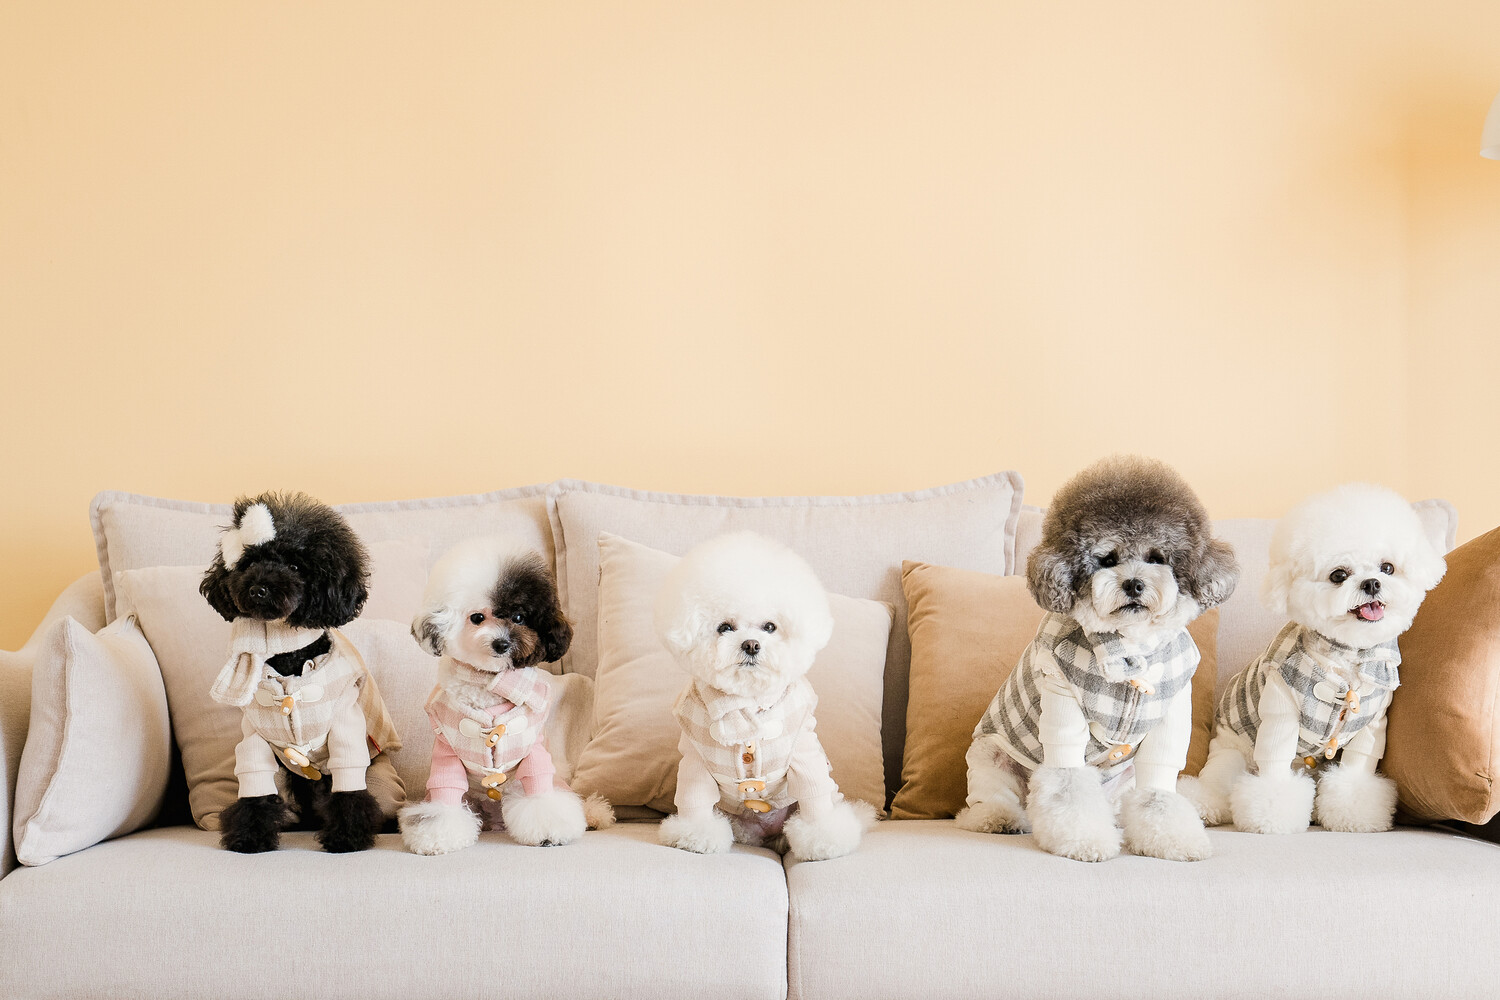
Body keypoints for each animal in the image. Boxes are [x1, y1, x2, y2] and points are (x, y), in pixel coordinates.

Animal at [200, 492, 404, 853]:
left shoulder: (346, 727)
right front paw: (249, 837)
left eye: (295, 566)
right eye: (248, 563)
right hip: (287, 778)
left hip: (380, 778)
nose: (258, 589)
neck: (288, 659)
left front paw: (346, 838)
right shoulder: (254, 740)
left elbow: (349, 789)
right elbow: (254, 791)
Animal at [398, 536, 613, 855]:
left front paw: (548, 832)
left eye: (520, 617)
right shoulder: (446, 751)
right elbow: (444, 795)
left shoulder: (533, 751)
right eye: (477, 617)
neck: (489, 687)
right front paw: (438, 837)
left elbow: (541, 791)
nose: (502, 644)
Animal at [654, 531, 874, 861]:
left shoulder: (804, 755)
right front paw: (695, 837)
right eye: (724, 627)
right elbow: (694, 798)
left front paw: (824, 841)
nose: (751, 644)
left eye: (770, 626)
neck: (744, 701)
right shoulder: (694, 760)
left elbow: (815, 797)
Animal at [955, 456, 1238, 862]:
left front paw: (1175, 839)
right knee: (987, 802)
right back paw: (1000, 819)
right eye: (1107, 559)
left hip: (1123, 780)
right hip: (991, 757)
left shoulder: (1171, 712)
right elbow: (1068, 785)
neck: (1132, 647)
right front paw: (1085, 841)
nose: (1134, 583)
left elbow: (1159, 794)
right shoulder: (1059, 696)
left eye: (1157, 557)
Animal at [1181, 484, 1445, 834]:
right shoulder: (1281, 710)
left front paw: (1355, 815)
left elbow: (1358, 769)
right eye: (1338, 575)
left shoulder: (1373, 722)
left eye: (1387, 568)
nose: (1372, 583)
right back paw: (1202, 805)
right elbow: (1275, 767)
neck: (1349, 656)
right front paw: (1273, 817)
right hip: (1230, 753)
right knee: (1216, 784)